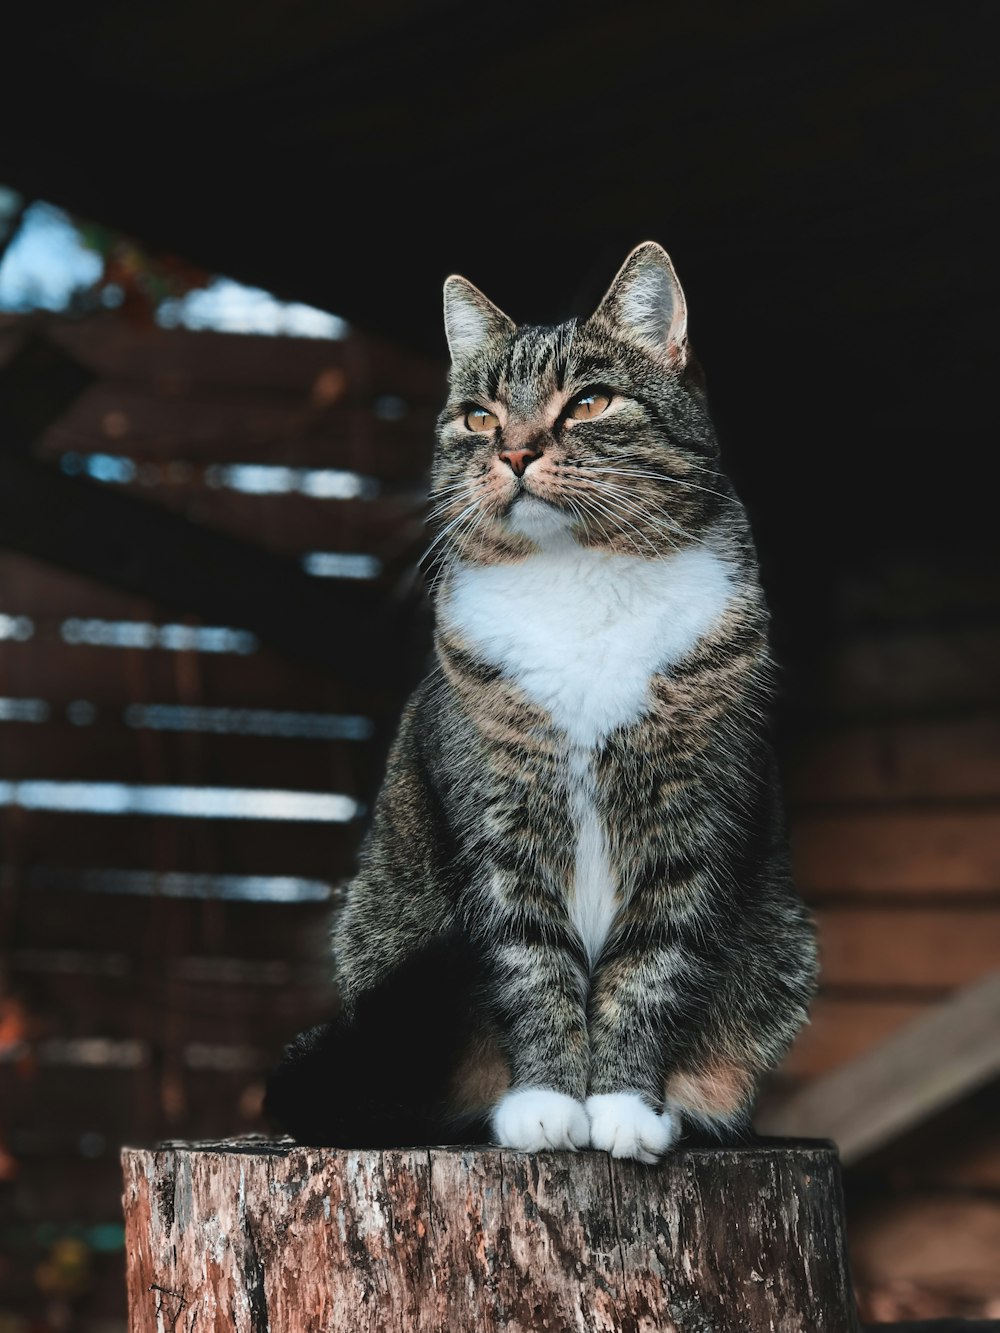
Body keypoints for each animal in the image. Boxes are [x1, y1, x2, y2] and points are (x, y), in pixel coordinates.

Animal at [264, 245, 816, 1162]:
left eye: (588, 401)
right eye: (479, 417)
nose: (516, 452)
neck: (580, 579)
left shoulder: (691, 819)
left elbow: (650, 966)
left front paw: (624, 1105)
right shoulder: (498, 821)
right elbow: (528, 961)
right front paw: (549, 1102)